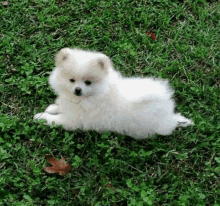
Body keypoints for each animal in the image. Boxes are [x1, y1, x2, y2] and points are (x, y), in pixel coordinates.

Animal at [33, 47, 193, 139]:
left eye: (88, 82)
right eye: (71, 80)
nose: (77, 90)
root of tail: (168, 113)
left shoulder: (73, 120)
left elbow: (55, 120)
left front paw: (42, 117)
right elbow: (60, 105)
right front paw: (52, 107)